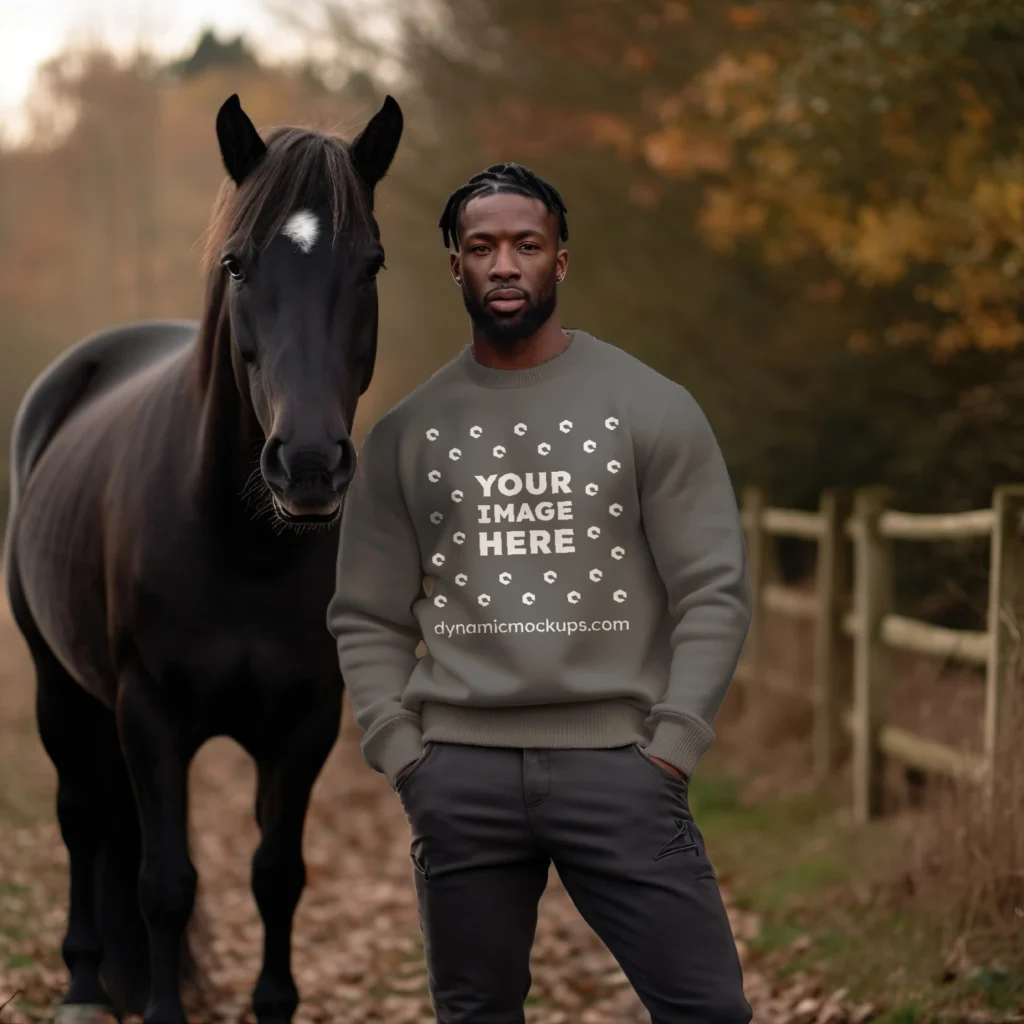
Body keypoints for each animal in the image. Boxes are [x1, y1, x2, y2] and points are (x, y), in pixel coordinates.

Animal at [4, 92, 403, 1019]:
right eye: (236, 263)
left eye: (371, 264)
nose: (308, 464)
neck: (239, 547)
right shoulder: (150, 715)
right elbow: (166, 884)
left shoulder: (305, 723)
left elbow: (277, 876)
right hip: (59, 688)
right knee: (83, 817)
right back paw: (85, 984)